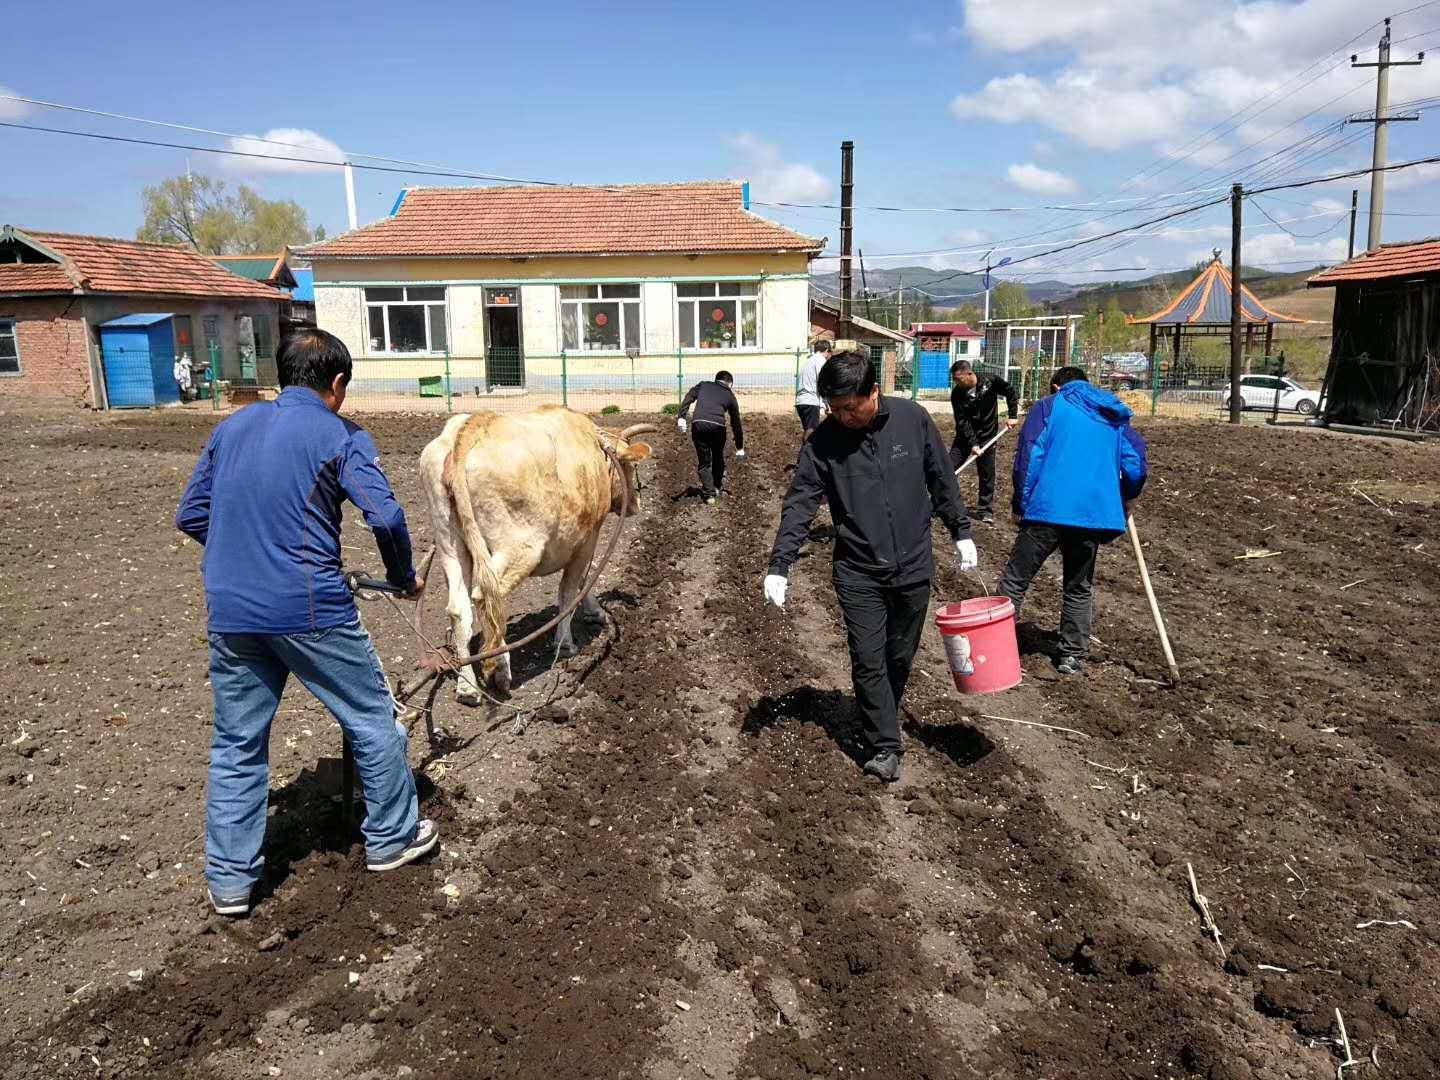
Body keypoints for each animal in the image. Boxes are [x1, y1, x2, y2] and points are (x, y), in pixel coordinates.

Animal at [417, 408, 659, 705]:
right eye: (631, 467)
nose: (637, 504)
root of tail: (475, 425)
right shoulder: (588, 537)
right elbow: (572, 588)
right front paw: (566, 643)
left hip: (449, 545)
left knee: (458, 608)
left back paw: (468, 687)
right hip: (519, 547)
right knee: (487, 597)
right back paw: (500, 669)